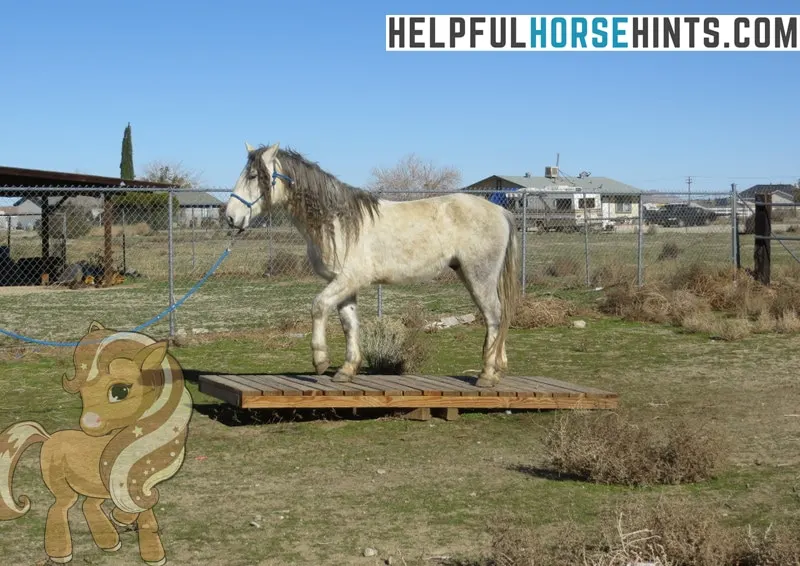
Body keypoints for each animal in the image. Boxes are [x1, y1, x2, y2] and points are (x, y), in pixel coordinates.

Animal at [223, 144, 520, 388]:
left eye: (253, 176)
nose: (230, 217)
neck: (337, 221)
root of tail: (501, 211)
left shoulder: (346, 281)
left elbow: (318, 306)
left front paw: (320, 360)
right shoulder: (344, 285)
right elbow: (349, 324)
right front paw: (346, 369)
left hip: (479, 275)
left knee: (494, 315)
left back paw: (487, 374)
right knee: (498, 315)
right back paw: (497, 369)